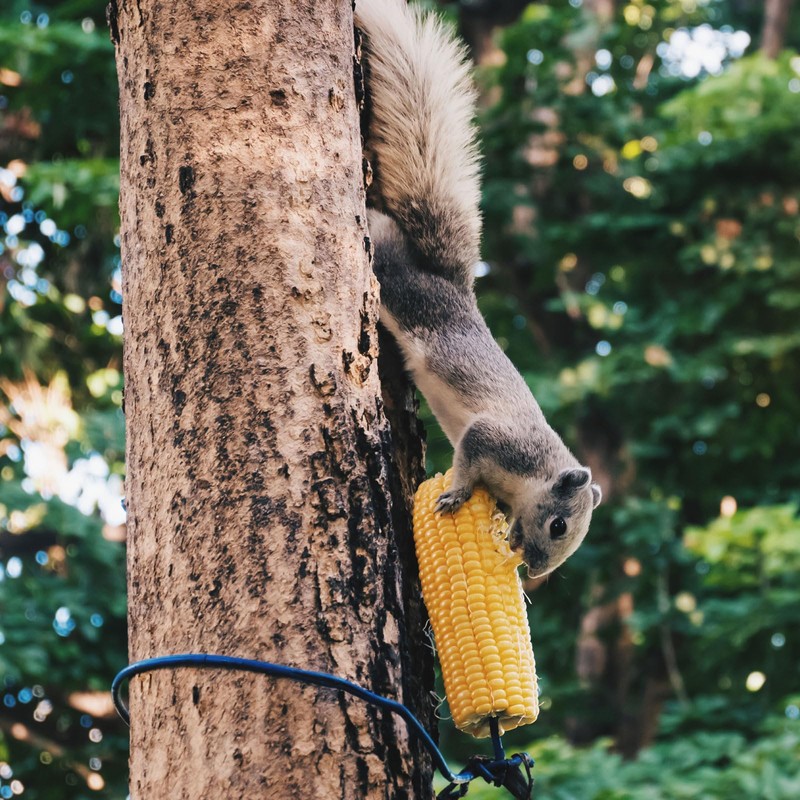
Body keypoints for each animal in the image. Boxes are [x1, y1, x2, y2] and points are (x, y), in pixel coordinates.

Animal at [355, 0, 601, 578]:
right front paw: (455, 493)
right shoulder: (497, 440)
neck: (533, 475)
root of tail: (456, 289)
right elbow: (468, 459)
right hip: (405, 291)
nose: (534, 570)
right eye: (560, 525)